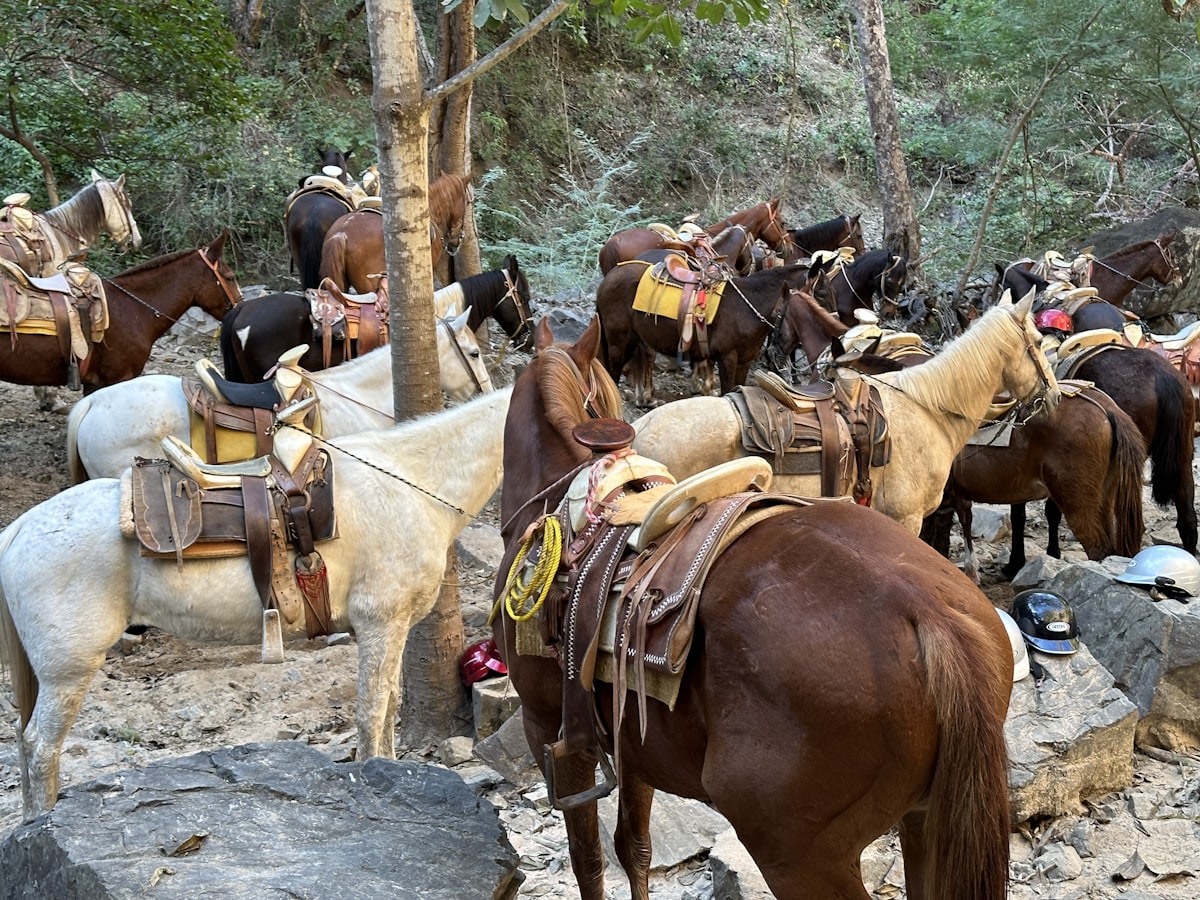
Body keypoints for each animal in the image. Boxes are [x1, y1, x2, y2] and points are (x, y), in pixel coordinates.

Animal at [0, 385, 511, 820]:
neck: (409, 487)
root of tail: (19, 528)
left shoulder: (395, 627)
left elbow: (389, 707)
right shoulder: (380, 624)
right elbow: (372, 713)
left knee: (28, 746)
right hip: (68, 671)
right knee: (41, 748)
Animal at [491, 316, 1012, 899]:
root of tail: (929, 617)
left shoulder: (550, 729)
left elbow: (588, 859)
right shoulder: (633, 739)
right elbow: (634, 848)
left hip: (799, 855)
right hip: (924, 822)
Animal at [595, 261, 811, 405]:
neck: (746, 308)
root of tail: (612, 274)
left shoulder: (744, 361)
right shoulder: (727, 359)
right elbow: (727, 391)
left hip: (635, 340)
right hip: (618, 342)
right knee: (612, 374)